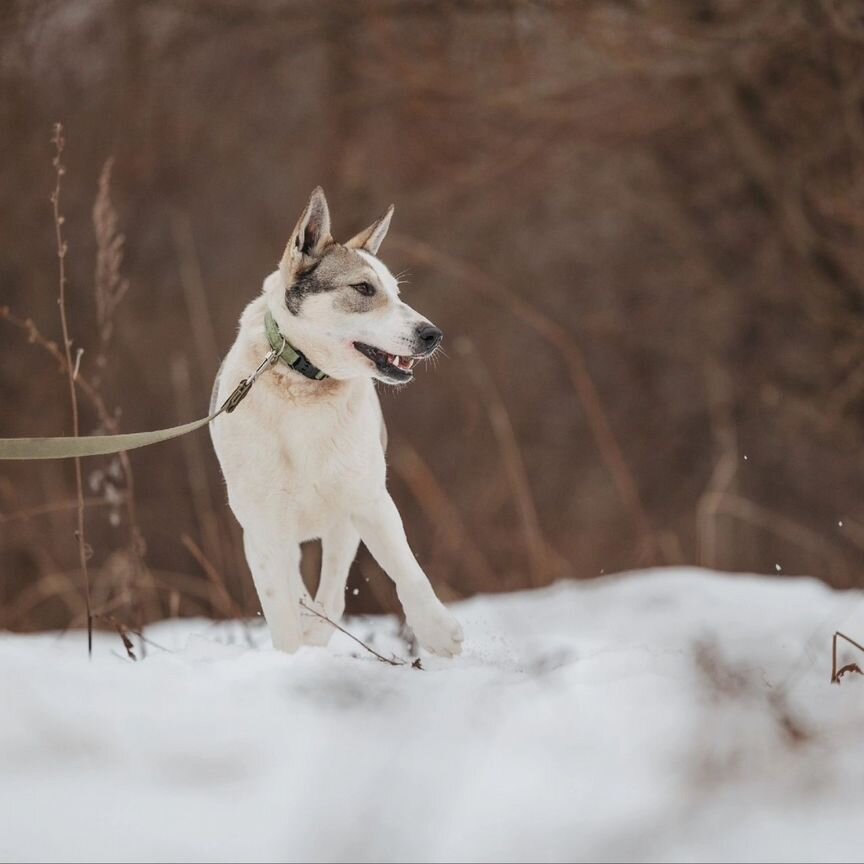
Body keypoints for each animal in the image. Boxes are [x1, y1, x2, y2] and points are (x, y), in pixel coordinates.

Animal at [210, 189, 466, 656]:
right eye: (363, 288)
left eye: (396, 292)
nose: (432, 334)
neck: (304, 384)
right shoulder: (263, 527)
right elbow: (281, 610)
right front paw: (291, 656)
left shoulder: (367, 499)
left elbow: (406, 570)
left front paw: (437, 630)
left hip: (340, 521)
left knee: (332, 587)